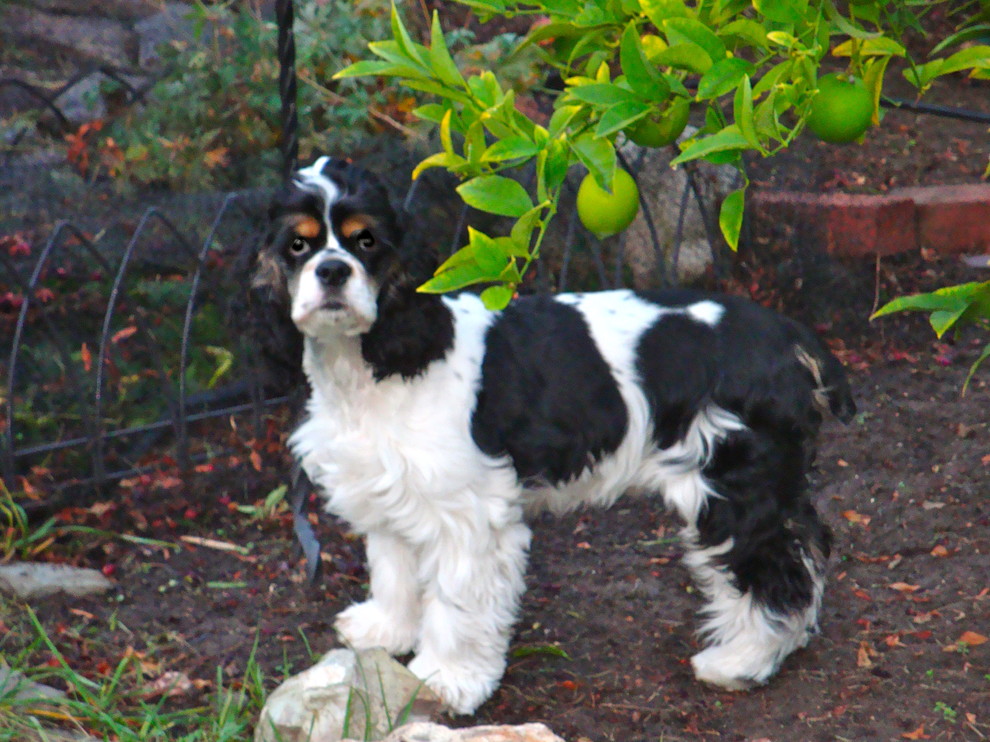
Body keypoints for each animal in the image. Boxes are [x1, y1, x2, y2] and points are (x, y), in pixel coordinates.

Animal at [251, 156, 856, 714]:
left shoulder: (466, 517)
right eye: (298, 246)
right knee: (805, 547)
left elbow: (456, 605)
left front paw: (447, 680)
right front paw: (385, 631)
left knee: (774, 570)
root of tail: (787, 333)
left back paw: (742, 661)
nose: (333, 270)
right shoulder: (391, 489)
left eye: (366, 241)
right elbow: (393, 570)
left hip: (729, 482)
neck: (373, 364)